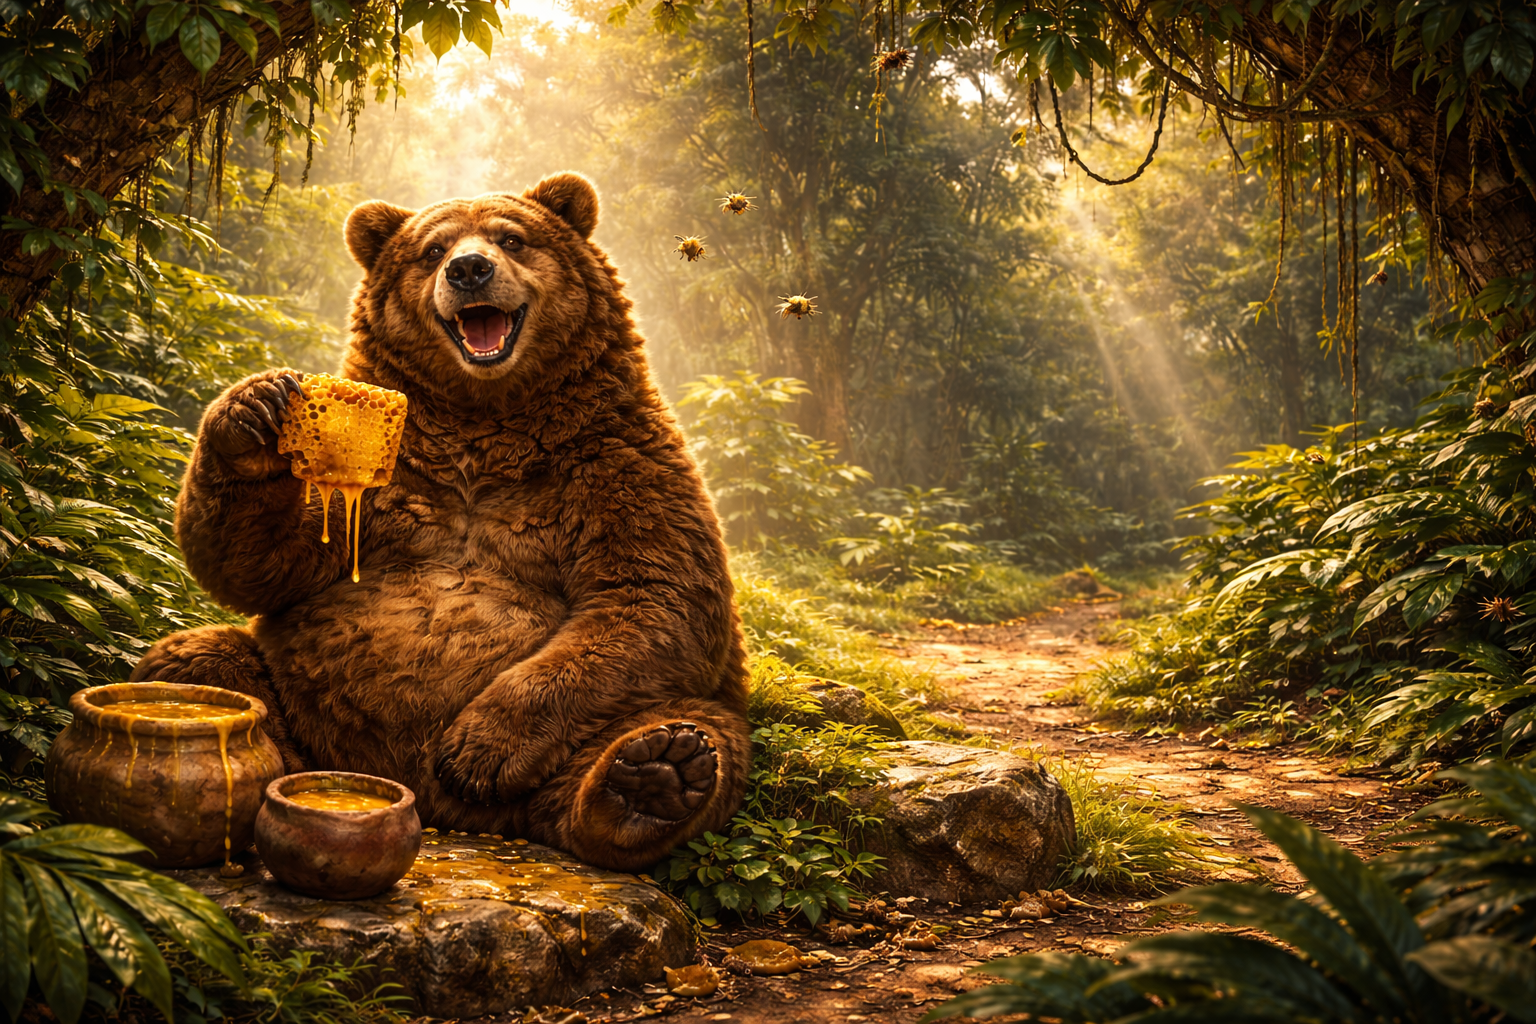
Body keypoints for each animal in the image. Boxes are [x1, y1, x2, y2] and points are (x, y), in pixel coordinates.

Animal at [131, 172, 751, 871]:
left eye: (512, 238)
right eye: (432, 250)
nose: (470, 269)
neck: (483, 422)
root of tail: (435, 811)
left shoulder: (617, 463)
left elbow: (655, 598)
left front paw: (477, 751)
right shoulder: (382, 478)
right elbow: (267, 563)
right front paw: (253, 411)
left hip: (641, 717)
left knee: (699, 729)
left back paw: (651, 778)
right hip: (305, 702)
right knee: (200, 660)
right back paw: (264, 771)